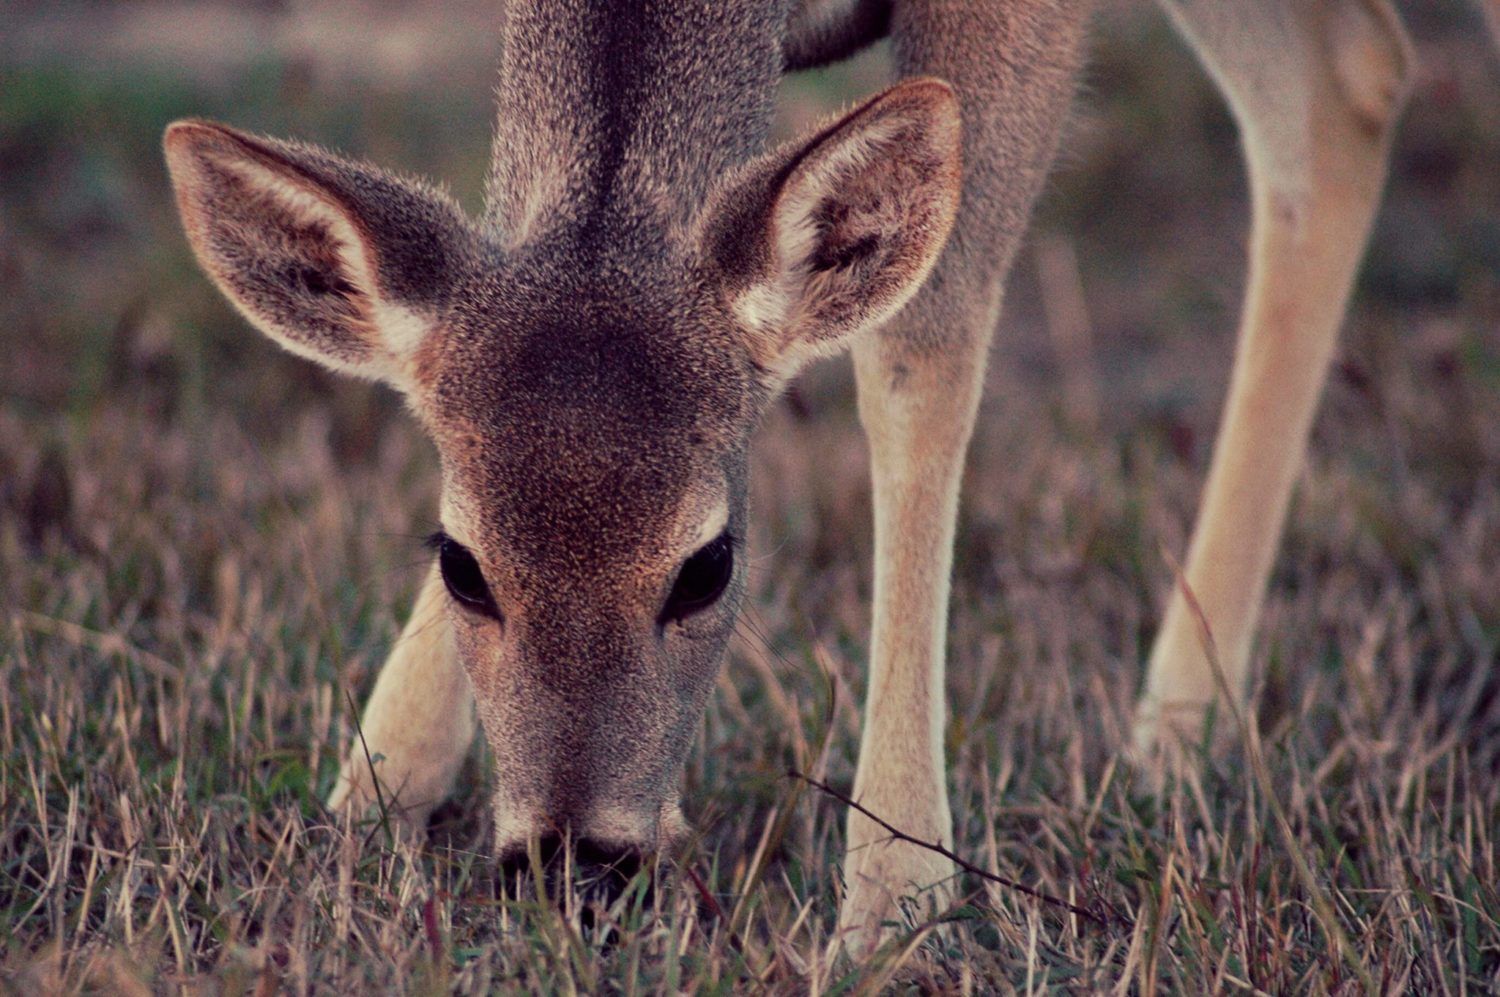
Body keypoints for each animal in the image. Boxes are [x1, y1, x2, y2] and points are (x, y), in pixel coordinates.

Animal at [164, 0, 1444, 955]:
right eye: (462, 563)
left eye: (707, 566)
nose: (577, 863)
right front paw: (364, 801)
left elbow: (921, 335)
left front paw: (898, 898)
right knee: (1345, 80)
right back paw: (1183, 723)